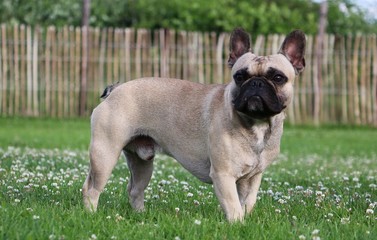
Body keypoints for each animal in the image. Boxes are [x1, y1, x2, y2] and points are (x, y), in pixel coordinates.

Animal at [83, 27, 306, 221]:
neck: (256, 124)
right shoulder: (223, 175)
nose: (256, 83)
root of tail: (115, 90)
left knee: (135, 190)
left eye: (278, 77)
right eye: (239, 76)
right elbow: (234, 206)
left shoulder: (253, 178)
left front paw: (246, 220)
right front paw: (238, 225)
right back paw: (91, 215)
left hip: (142, 162)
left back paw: (141, 216)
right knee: (92, 188)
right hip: (105, 154)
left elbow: (247, 203)